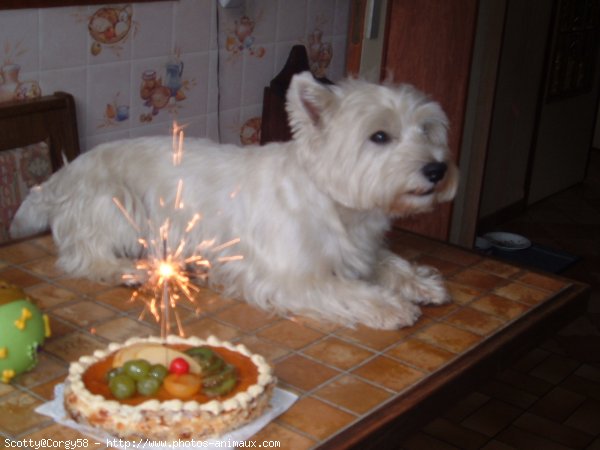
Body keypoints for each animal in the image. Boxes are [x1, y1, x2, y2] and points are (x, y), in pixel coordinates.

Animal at [9, 72, 458, 328]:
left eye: (426, 129)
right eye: (379, 136)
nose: (438, 170)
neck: (337, 206)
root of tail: (60, 176)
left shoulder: (362, 249)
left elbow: (388, 262)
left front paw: (422, 283)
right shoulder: (289, 275)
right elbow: (345, 290)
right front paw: (391, 307)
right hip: (115, 204)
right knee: (84, 255)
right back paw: (130, 270)